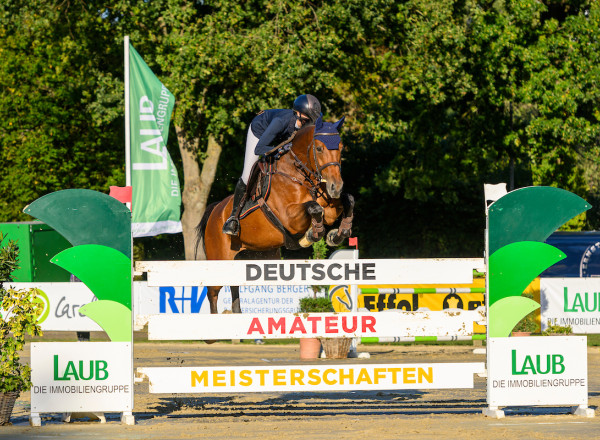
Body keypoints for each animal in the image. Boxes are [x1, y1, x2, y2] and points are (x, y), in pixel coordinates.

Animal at [197, 117, 354, 314]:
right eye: (319, 148)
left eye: (341, 147)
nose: (336, 187)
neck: (298, 175)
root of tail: (215, 210)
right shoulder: (289, 217)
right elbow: (314, 208)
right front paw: (313, 233)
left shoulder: (330, 207)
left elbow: (346, 201)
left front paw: (337, 234)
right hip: (219, 259)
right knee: (213, 293)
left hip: (252, 256)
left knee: (234, 289)